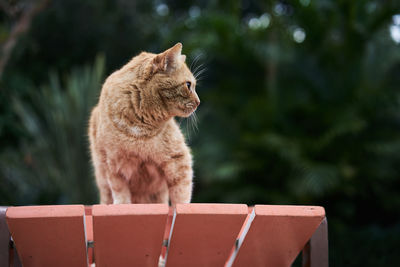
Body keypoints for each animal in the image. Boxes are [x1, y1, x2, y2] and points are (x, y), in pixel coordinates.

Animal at [88, 43, 199, 205]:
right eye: (188, 85)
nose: (198, 102)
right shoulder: (113, 164)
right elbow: (120, 191)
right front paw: (122, 205)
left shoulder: (178, 159)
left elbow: (181, 193)